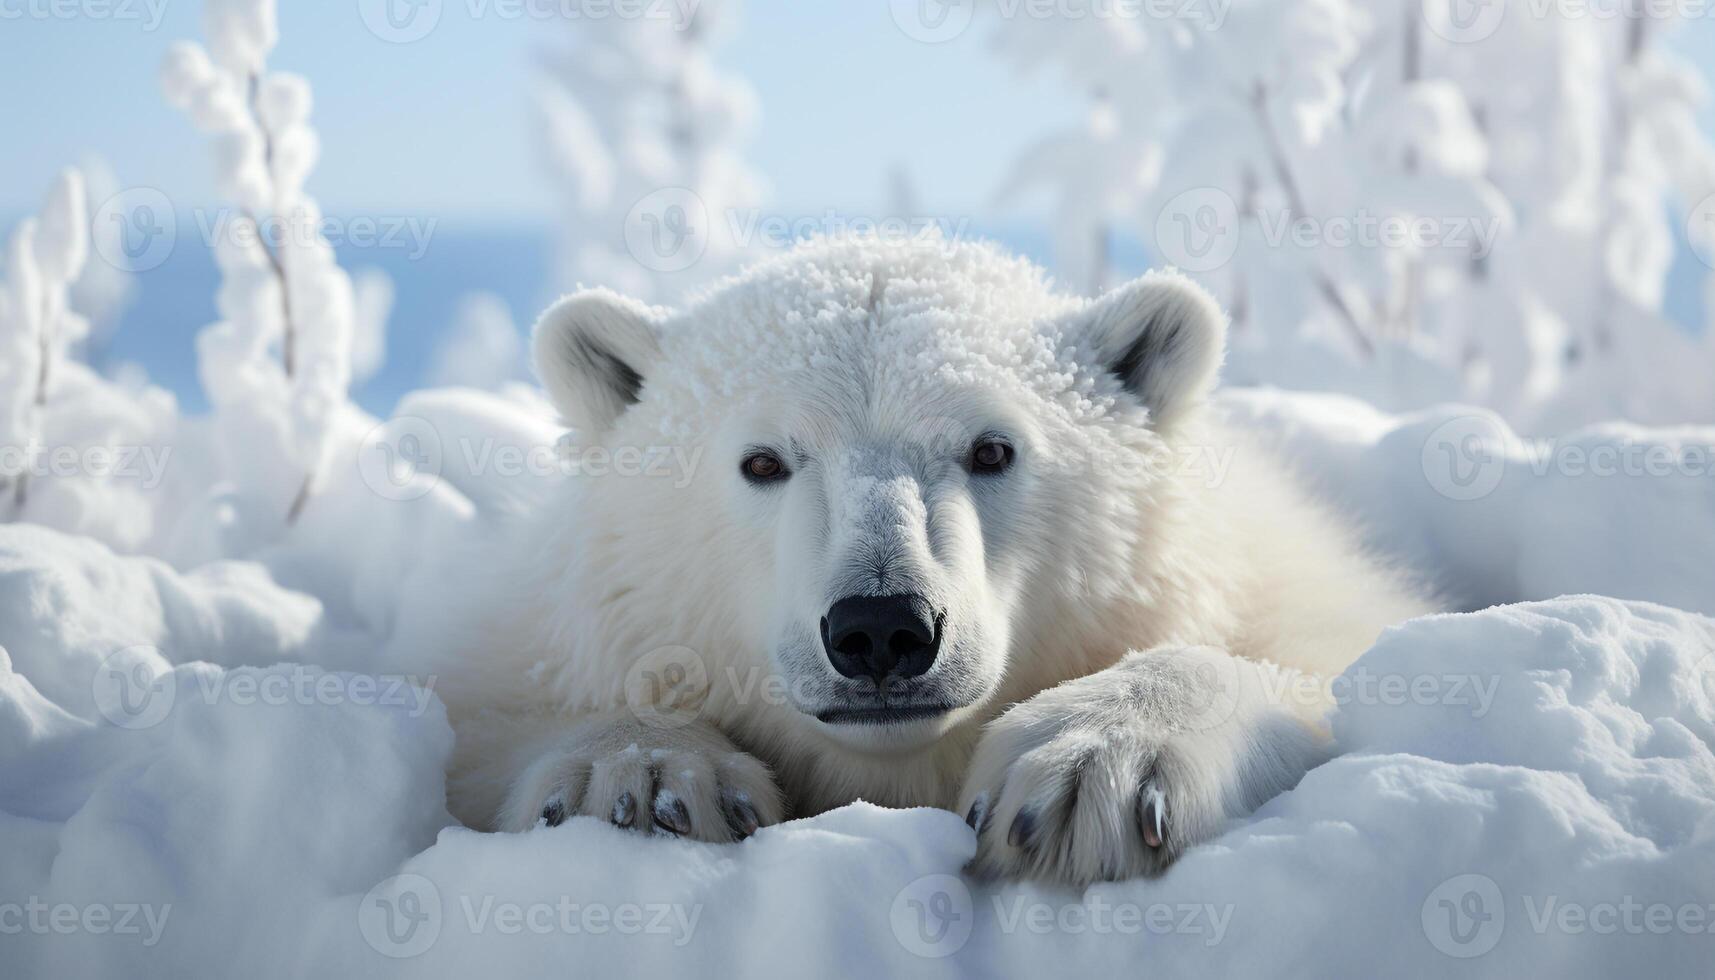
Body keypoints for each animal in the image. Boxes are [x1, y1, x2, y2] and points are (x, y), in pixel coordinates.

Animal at [445, 233, 1433, 885]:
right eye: (762, 461)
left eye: (992, 449)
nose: (882, 627)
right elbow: (492, 724)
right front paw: (640, 781)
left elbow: (1335, 670)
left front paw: (1088, 776)